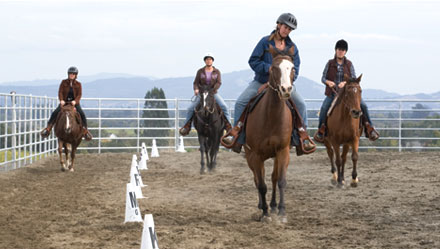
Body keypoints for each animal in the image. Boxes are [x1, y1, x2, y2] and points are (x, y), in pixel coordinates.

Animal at [244, 45, 296, 223]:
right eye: (274, 68)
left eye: (292, 68)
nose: (286, 89)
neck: (271, 116)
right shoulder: (256, 154)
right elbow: (261, 184)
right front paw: (265, 214)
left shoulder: (283, 151)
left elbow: (280, 181)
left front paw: (282, 212)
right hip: (250, 156)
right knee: (257, 178)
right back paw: (263, 206)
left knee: (273, 177)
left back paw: (273, 206)